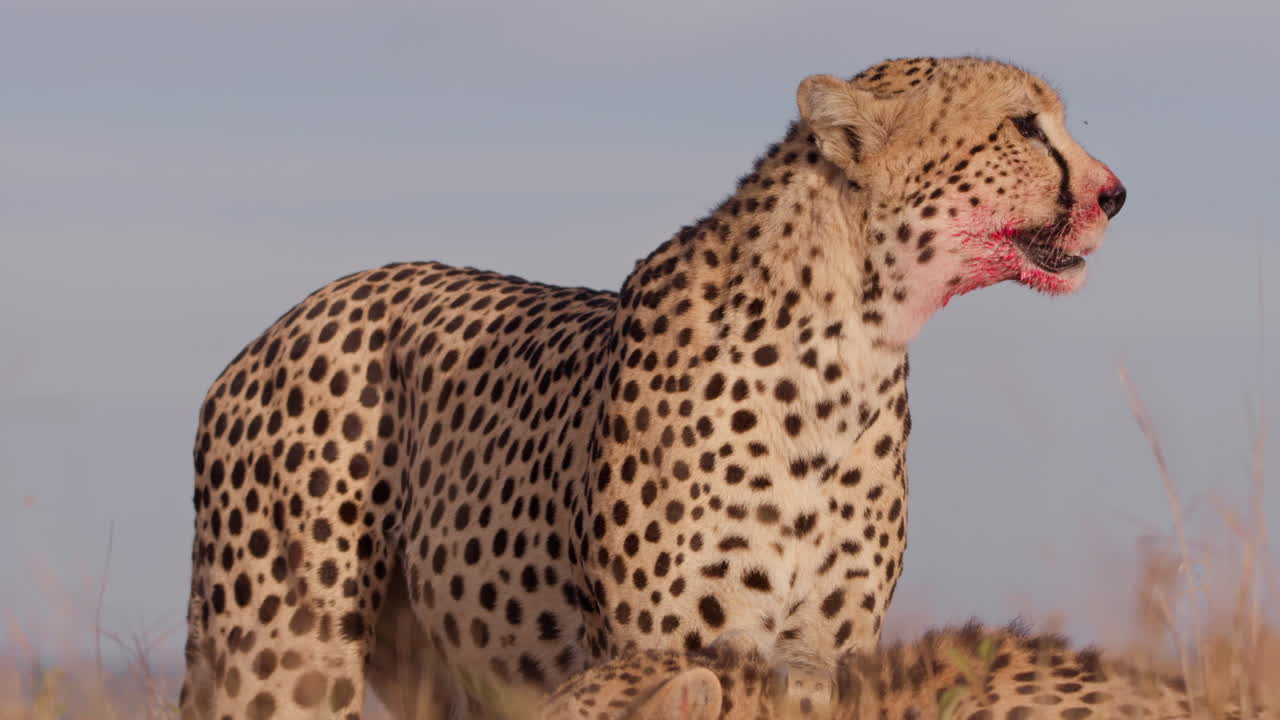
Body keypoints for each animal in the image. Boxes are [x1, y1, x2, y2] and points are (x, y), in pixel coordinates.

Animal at [179, 56, 1125, 719]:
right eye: (1023, 126)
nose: (1116, 194)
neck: (852, 342)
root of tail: (289, 317)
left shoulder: (824, 654)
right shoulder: (678, 640)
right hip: (286, 660)